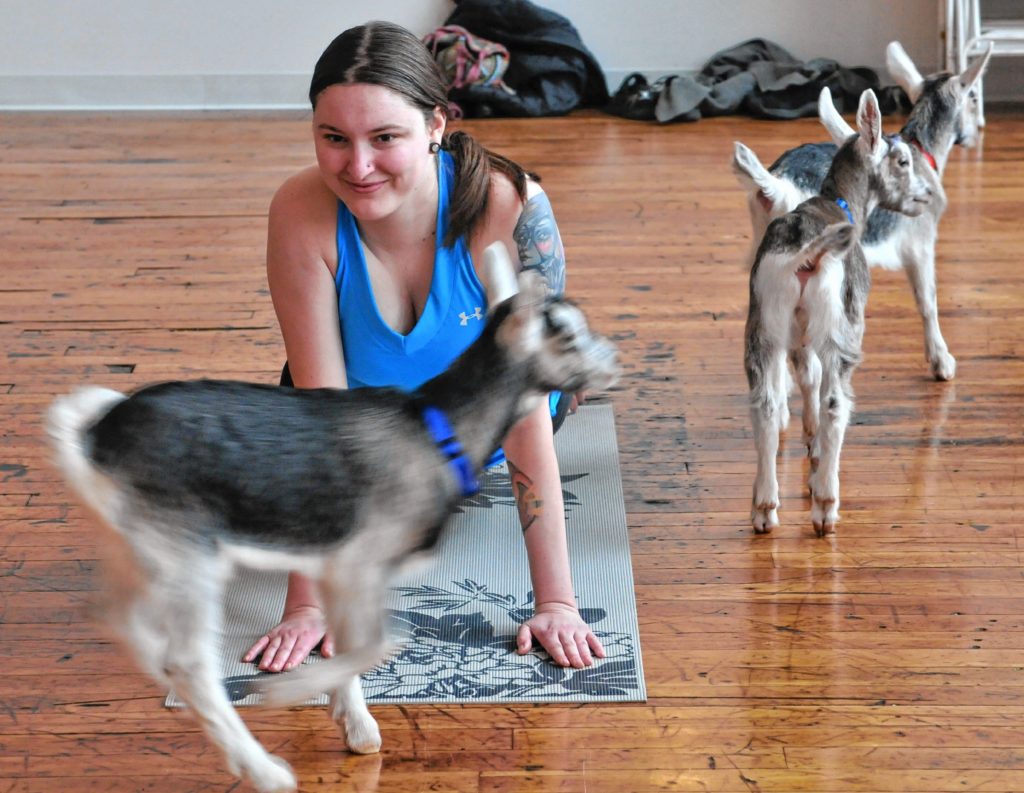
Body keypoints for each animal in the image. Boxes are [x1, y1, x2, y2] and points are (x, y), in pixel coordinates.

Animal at [46, 244, 614, 790]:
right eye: (566, 335)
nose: (614, 360)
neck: (439, 427)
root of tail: (98, 431)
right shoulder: (357, 561)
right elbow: (382, 642)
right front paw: (287, 693)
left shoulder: (337, 567)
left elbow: (350, 645)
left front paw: (356, 727)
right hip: (191, 553)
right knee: (188, 663)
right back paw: (264, 770)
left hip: (137, 544)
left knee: (121, 619)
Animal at [741, 91, 933, 540]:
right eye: (902, 160)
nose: (926, 195)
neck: (840, 202)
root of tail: (806, 251)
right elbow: (821, 392)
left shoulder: (796, 334)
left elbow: (802, 379)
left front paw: (808, 446)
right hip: (840, 326)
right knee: (835, 402)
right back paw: (826, 506)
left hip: (764, 323)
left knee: (765, 404)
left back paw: (764, 507)